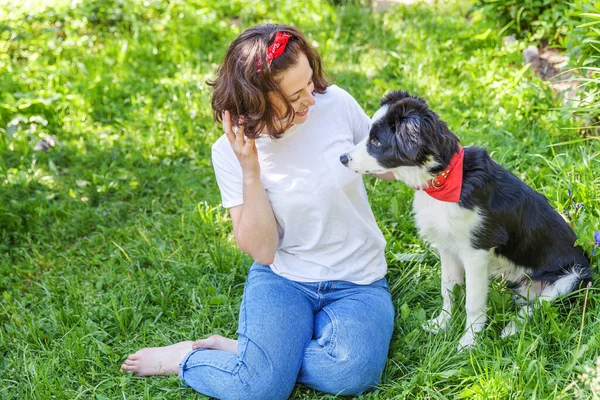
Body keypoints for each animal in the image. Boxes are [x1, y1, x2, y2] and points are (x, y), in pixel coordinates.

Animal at [340, 92, 592, 348]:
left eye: (376, 142)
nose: (342, 158)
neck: (444, 180)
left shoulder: (476, 252)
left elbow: (473, 301)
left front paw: (469, 342)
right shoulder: (447, 247)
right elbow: (448, 289)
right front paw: (442, 324)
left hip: (573, 278)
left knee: (538, 307)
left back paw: (510, 330)